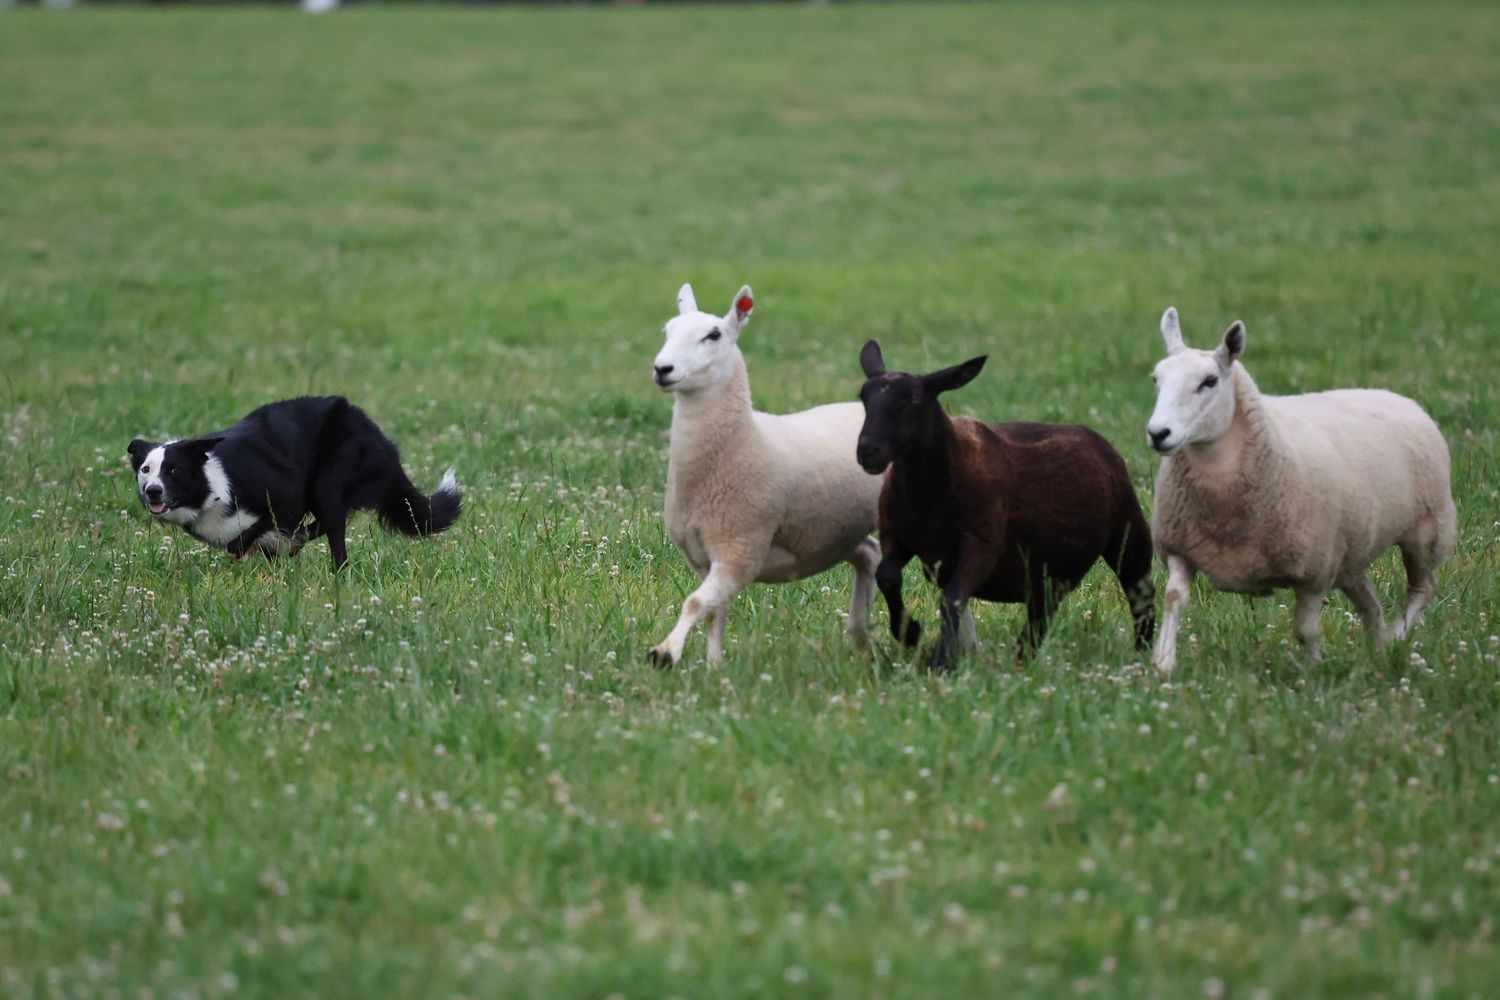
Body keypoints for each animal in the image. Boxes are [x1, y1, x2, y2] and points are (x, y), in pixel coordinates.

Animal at [645, 282, 885, 666]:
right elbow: (714, 612)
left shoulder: (740, 548)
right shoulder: (705, 557)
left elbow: (695, 603)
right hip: (834, 531)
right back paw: (862, 636)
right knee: (869, 555)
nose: (662, 369)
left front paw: (665, 651)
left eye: (714, 335)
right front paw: (715, 666)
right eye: (668, 331)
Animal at [856, 340, 1157, 671]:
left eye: (913, 400)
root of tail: (1096, 439)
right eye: (864, 398)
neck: (927, 498)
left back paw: (1141, 653)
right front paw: (909, 632)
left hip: (1128, 532)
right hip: (1049, 566)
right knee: (1043, 610)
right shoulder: (896, 535)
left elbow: (952, 597)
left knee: (1141, 593)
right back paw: (1021, 656)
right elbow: (887, 577)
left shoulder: (982, 544)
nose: (867, 450)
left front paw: (941, 660)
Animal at [1145, 308, 1457, 673]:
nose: (1158, 433)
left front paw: (1313, 672)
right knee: (1370, 603)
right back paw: (1379, 649)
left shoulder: (1313, 571)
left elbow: (1305, 630)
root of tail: (1398, 397)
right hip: (1348, 556)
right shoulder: (1179, 548)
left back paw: (1394, 639)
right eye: (1156, 379)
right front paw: (1164, 662)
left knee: (1422, 589)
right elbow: (1173, 599)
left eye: (1209, 381)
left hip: (1426, 531)